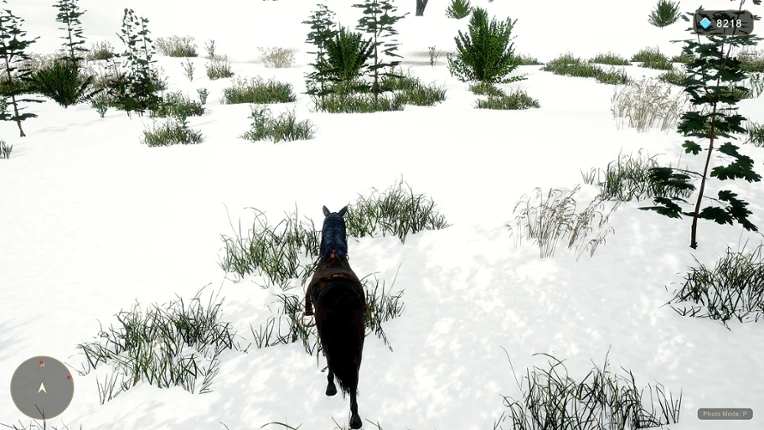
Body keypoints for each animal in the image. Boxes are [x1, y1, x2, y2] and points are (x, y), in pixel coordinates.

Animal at [303, 205, 366, 429]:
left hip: (328, 339)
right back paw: (355, 418)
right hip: (356, 344)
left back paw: (331, 388)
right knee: (354, 378)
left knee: (331, 362)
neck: (332, 254)